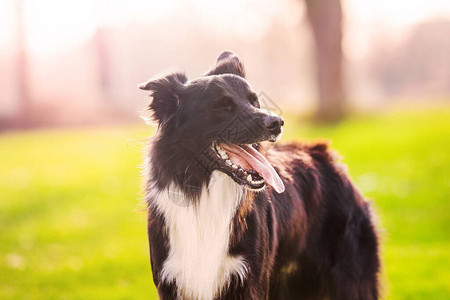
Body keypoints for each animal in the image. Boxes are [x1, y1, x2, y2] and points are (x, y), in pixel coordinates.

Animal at [138, 52, 380, 300]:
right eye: (223, 105)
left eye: (254, 101)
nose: (277, 122)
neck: (206, 193)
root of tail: (324, 155)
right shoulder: (171, 280)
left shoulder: (250, 281)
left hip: (350, 279)